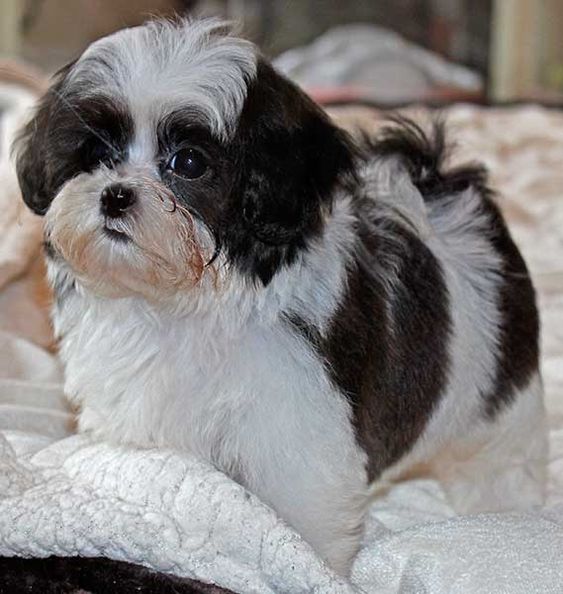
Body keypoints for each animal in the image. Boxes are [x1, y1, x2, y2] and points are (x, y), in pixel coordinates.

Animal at [15, 19, 548, 572]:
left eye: (188, 162)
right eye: (95, 154)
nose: (115, 194)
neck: (182, 299)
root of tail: (442, 187)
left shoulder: (297, 435)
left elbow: (303, 512)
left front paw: (309, 568)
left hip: (501, 398)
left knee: (501, 459)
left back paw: (503, 510)